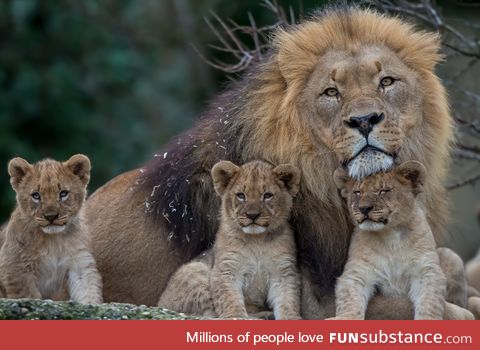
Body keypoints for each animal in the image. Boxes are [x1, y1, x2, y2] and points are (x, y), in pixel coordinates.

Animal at [84, 6, 456, 318]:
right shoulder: (319, 295)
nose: (364, 120)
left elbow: (447, 263)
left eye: (387, 82)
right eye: (331, 92)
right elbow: (437, 307)